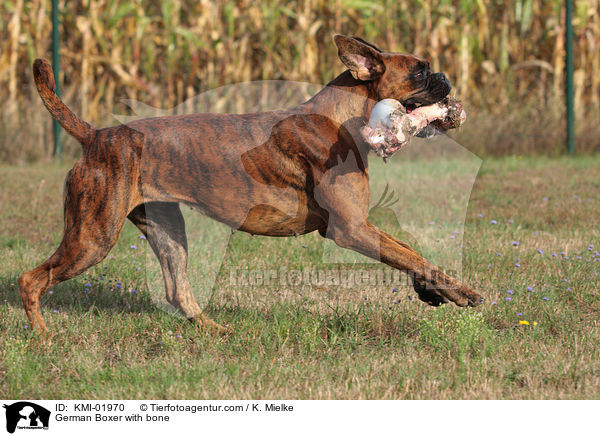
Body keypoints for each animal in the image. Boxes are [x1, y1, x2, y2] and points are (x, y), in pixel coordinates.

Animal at [21, 35, 486, 332]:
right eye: (420, 73)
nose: (445, 76)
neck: (343, 118)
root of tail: (96, 136)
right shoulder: (352, 229)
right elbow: (410, 255)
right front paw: (463, 294)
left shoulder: (361, 228)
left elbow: (410, 253)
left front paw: (434, 292)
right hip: (93, 237)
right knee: (31, 280)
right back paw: (44, 338)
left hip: (166, 232)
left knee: (177, 292)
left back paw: (217, 332)